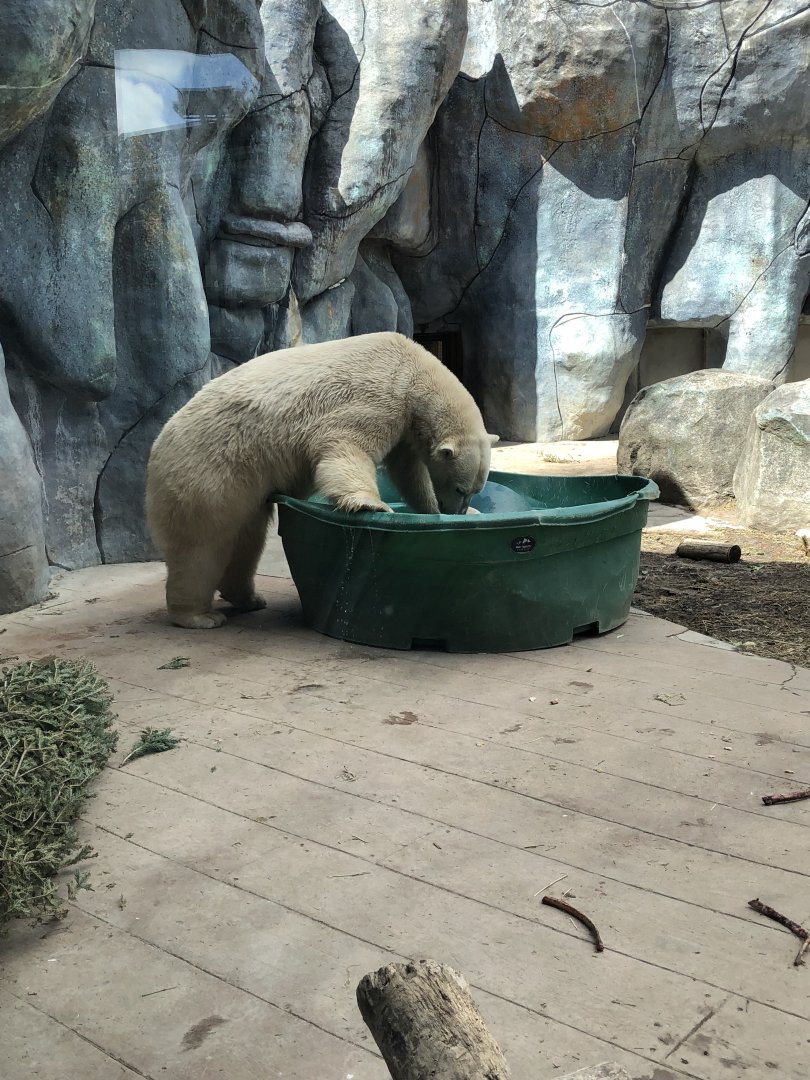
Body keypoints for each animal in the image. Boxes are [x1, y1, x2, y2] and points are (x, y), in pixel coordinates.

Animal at [145, 331, 498, 629]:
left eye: (475, 490)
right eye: (461, 488)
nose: (457, 510)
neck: (412, 371)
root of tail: (157, 446)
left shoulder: (404, 426)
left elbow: (409, 473)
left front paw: (444, 510)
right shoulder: (377, 398)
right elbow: (345, 445)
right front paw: (373, 505)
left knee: (247, 540)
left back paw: (248, 598)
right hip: (209, 473)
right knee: (201, 548)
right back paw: (200, 616)